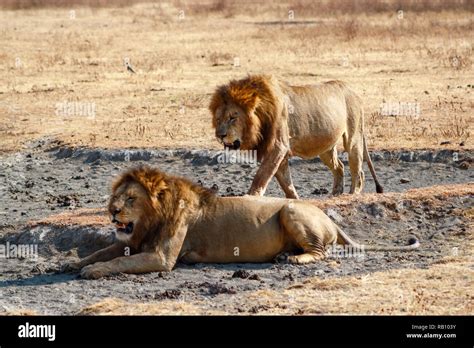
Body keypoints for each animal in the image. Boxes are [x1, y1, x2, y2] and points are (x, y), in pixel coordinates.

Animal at [62, 167, 418, 280]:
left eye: (131, 199)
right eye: (116, 196)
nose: (112, 212)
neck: (150, 220)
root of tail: (327, 215)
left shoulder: (161, 258)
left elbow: (118, 264)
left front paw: (91, 271)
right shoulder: (132, 241)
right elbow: (104, 252)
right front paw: (76, 262)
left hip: (291, 210)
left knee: (323, 252)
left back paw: (291, 258)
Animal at [209, 73, 384, 198]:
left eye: (233, 117)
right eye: (218, 119)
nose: (220, 135)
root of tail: (351, 89)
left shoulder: (278, 146)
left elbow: (261, 176)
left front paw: (252, 197)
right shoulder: (279, 153)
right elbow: (286, 183)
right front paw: (295, 201)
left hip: (353, 138)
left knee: (358, 172)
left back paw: (352, 194)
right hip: (325, 148)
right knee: (339, 167)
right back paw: (335, 194)